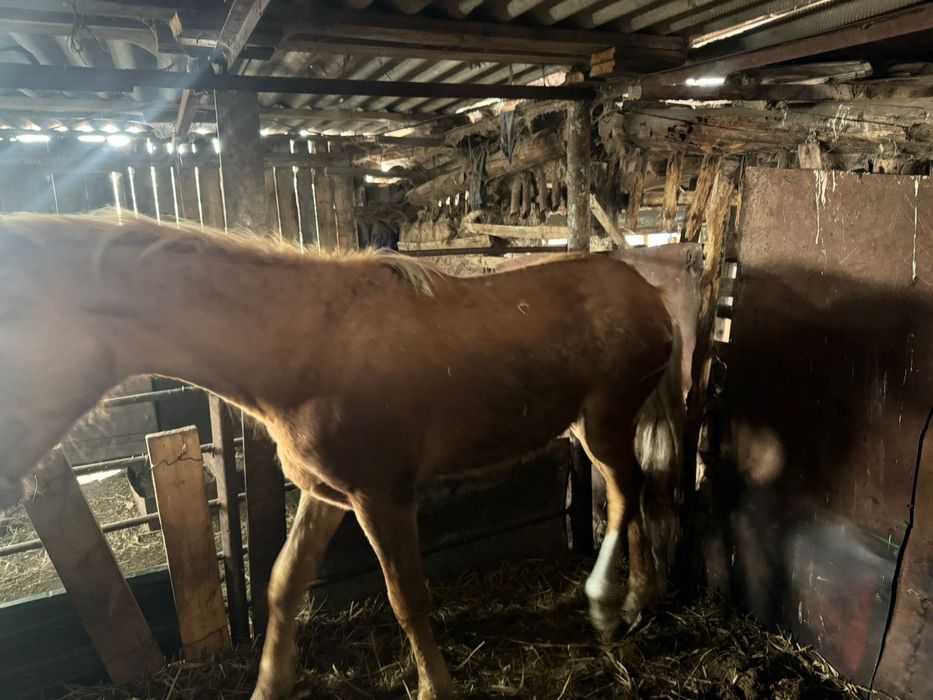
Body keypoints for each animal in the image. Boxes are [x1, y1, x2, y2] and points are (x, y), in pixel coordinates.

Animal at [0, 212, 685, 700]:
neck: (304, 350)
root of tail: (648, 293)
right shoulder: (325, 494)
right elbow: (282, 583)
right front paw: (270, 684)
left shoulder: (382, 498)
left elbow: (406, 596)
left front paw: (435, 688)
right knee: (643, 491)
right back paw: (641, 598)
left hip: (602, 425)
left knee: (626, 491)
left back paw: (609, 603)